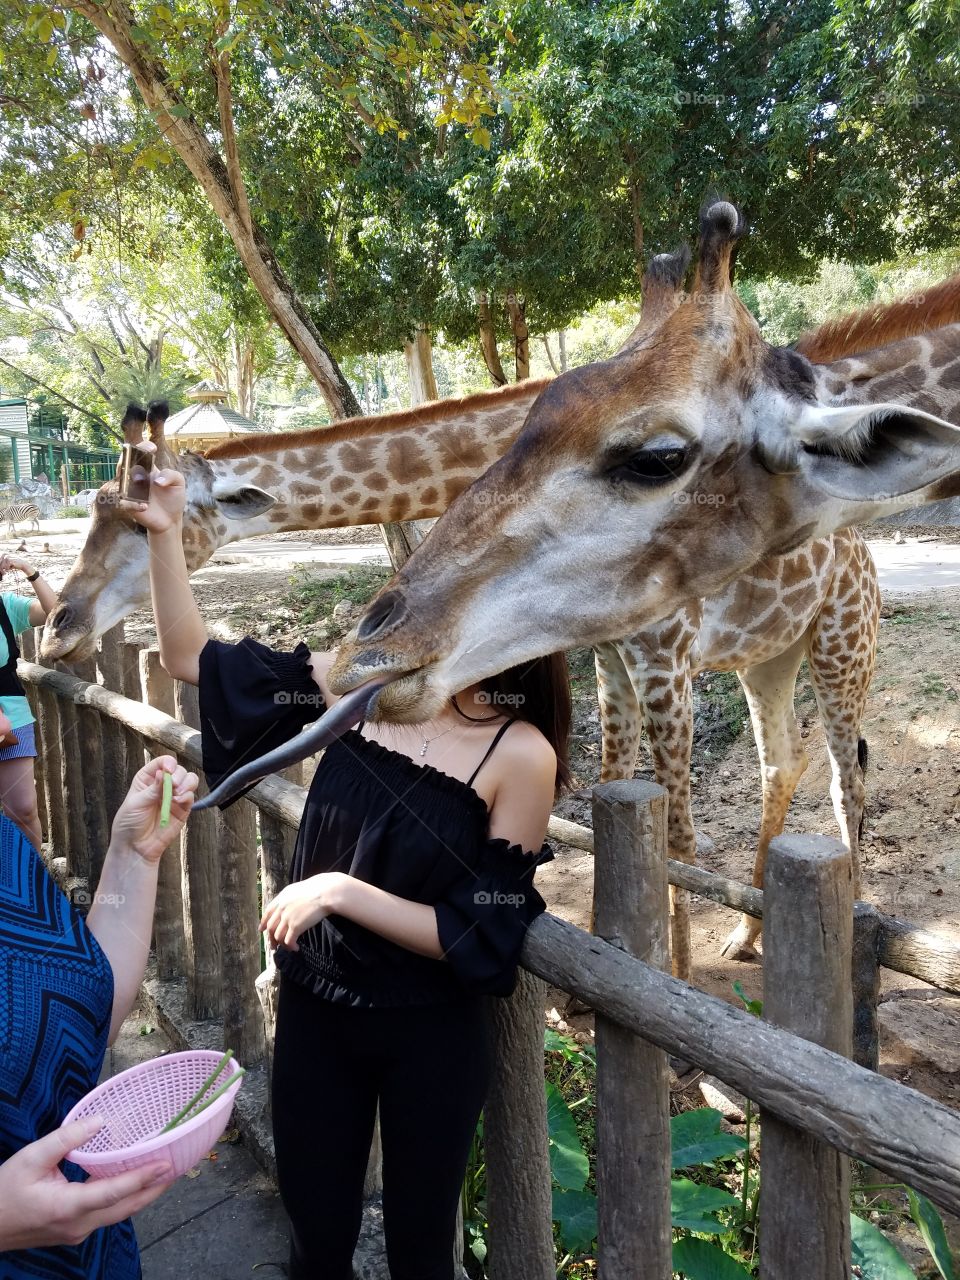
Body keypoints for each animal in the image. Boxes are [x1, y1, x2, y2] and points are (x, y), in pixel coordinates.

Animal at [322, 201, 960, 980]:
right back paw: (747, 934)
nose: (365, 654)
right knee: (783, 759)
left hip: (844, 647)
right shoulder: (612, 660)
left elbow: (679, 831)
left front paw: (673, 981)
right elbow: (610, 788)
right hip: (767, 657)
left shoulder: (668, 662)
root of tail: (864, 553)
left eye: (657, 457)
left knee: (847, 778)